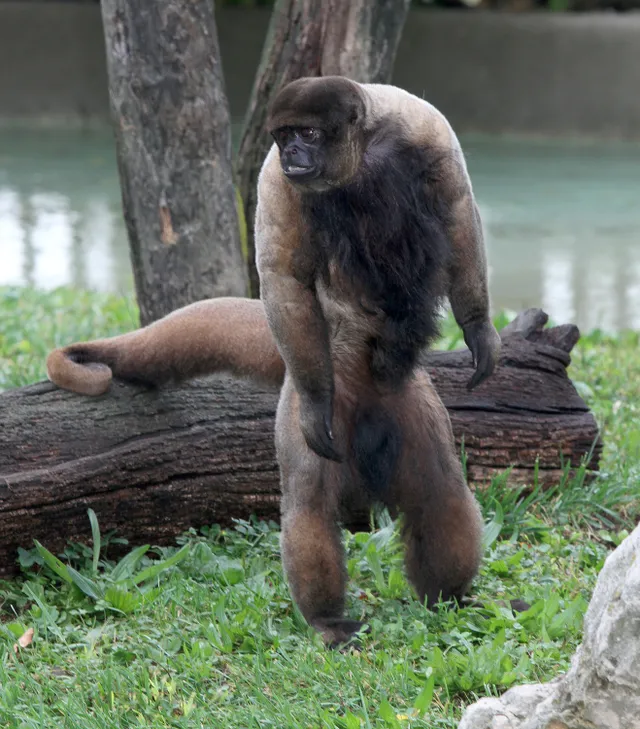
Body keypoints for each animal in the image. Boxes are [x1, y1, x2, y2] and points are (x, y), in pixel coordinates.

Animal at [45, 76, 501, 648]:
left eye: (307, 133)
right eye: (283, 137)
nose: (293, 155)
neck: (358, 157)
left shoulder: (426, 125)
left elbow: (459, 206)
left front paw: (479, 330)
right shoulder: (272, 179)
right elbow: (282, 276)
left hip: (407, 398)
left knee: (439, 490)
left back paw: (450, 597)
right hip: (310, 387)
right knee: (309, 500)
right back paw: (327, 618)